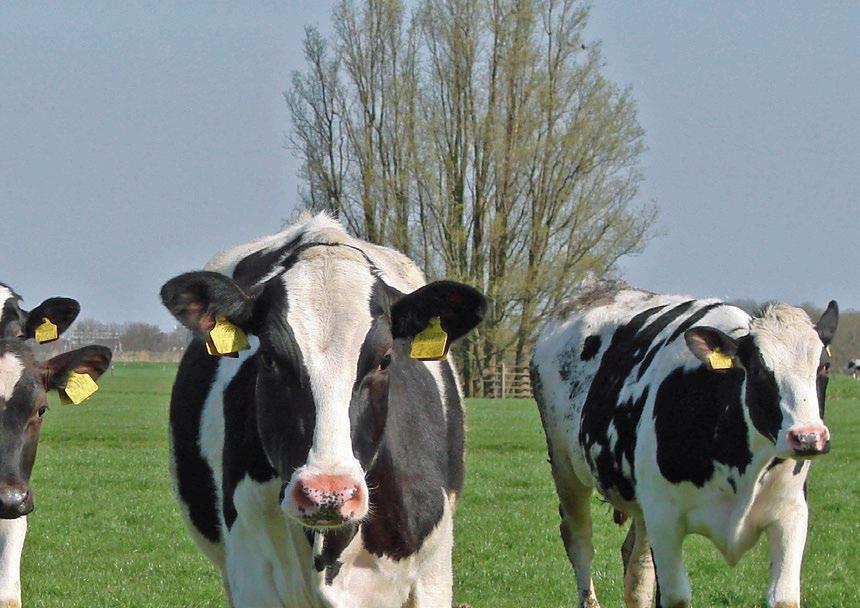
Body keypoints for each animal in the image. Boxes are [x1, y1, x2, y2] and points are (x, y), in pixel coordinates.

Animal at [531, 282, 838, 608]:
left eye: (824, 366)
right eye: (758, 370)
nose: (808, 437)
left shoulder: (791, 514)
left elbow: (784, 597)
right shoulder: (665, 520)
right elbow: (675, 596)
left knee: (637, 568)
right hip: (566, 468)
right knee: (580, 541)